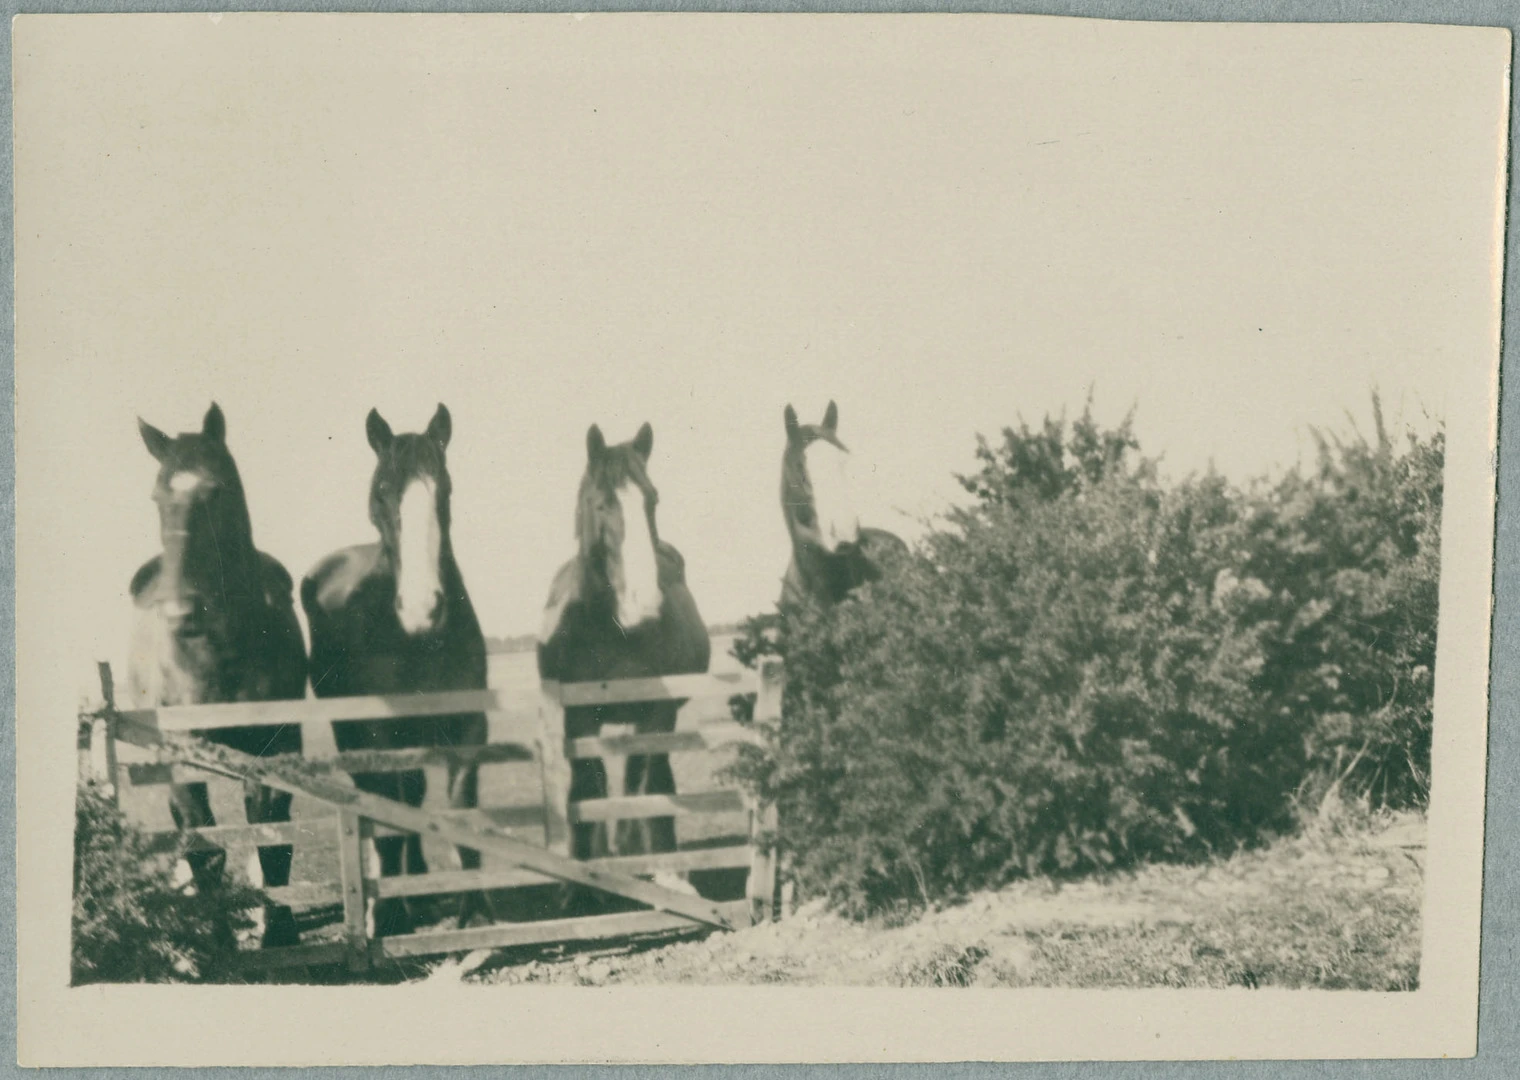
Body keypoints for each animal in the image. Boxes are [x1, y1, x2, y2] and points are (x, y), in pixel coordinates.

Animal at [127, 404, 311, 947]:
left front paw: (278, 932)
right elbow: (204, 847)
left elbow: (271, 838)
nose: (181, 613)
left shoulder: (273, 752)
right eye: (157, 498)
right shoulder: (182, 763)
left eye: (218, 490)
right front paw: (216, 939)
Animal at [296, 407, 486, 935]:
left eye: (444, 489)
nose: (422, 607)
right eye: (382, 490)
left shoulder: (470, 727)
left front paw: (475, 912)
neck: (415, 640)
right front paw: (385, 917)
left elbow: (461, 814)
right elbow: (387, 818)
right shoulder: (378, 733)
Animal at [538, 419, 708, 881]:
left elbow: (649, 787)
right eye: (600, 504)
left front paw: (664, 868)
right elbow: (590, 784)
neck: (612, 632)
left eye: (652, 499)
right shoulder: (578, 720)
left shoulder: (657, 715)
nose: (644, 603)